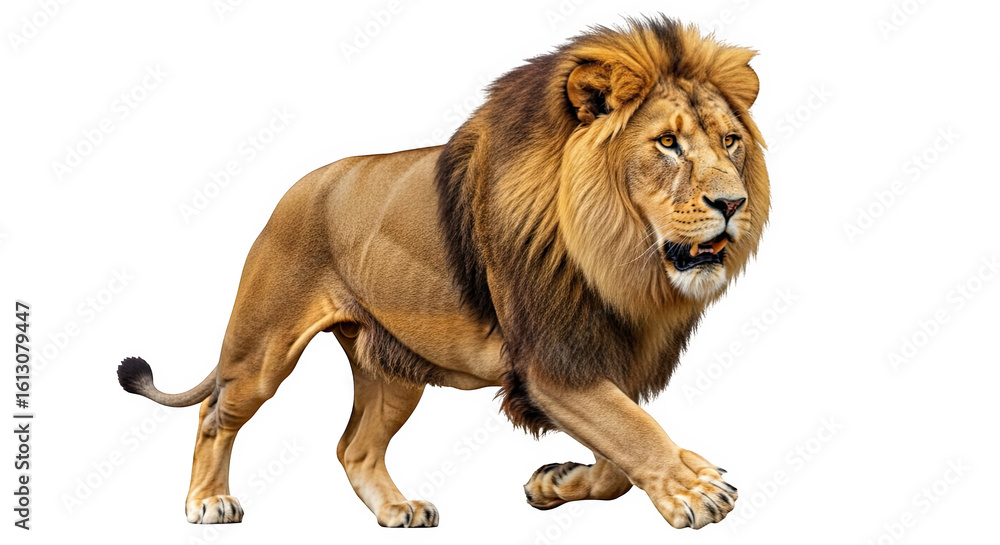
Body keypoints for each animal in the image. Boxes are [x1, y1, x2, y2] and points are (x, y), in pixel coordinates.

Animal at [117, 16, 769, 529]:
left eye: (730, 141)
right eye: (667, 144)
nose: (733, 203)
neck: (618, 262)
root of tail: (297, 187)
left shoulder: (606, 356)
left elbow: (617, 454)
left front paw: (555, 483)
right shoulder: (551, 364)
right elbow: (632, 429)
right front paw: (698, 487)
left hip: (395, 368)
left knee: (354, 448)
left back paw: (396, 510)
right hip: (264, 348)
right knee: (214, 413)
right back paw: (208, 502)